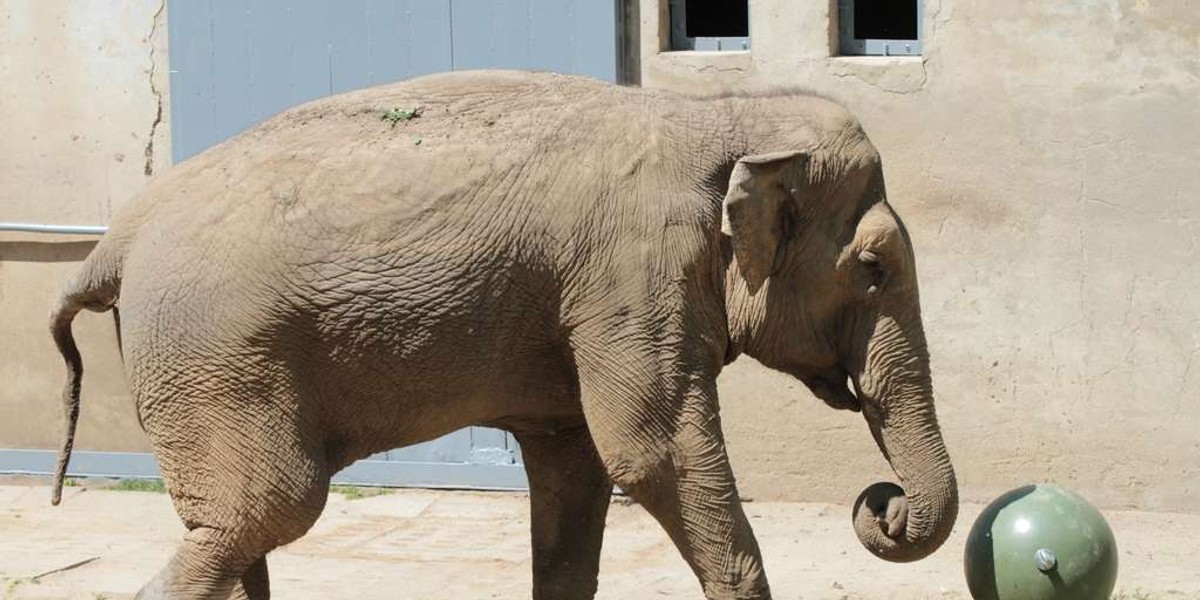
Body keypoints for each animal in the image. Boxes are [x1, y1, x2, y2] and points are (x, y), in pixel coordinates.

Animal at [51, 68, 960, 597]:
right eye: (873, 268)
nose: (882, 504)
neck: (719, 113)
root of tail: (114, 243)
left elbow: (576, 470)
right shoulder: (630, 276)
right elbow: (651, 453)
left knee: (238, 531)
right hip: (215, 362)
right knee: (267, 509)